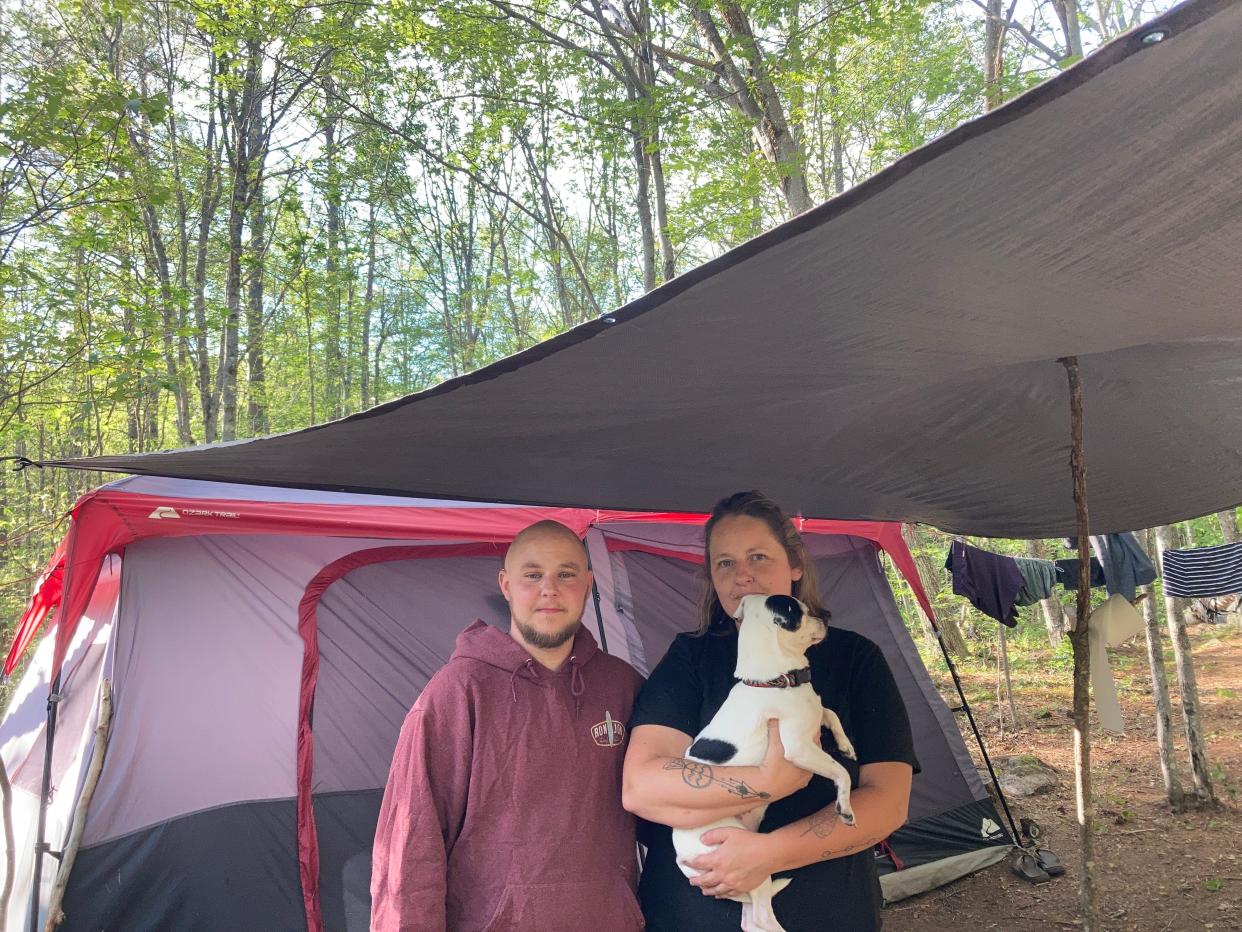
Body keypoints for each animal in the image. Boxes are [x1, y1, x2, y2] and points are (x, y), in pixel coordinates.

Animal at [670, 598, 854, 932]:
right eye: (802, 612)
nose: (826, 616)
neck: (772, 682)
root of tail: (680, 856)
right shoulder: (799, 747)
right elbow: (841, 772)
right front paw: (845, 807)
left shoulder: (814, 716)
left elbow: (831, 713)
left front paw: (846, 744)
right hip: (742, 861)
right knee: (761, 919)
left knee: (750, 919)